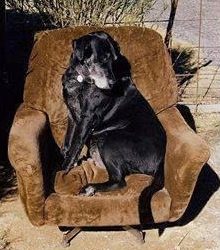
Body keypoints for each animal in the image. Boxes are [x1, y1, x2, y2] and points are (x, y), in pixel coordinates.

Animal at [61, 31, 166, 196]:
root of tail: (161, 161)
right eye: (103, 59)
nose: (112, 83)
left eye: (114, 60)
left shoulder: (87, 118)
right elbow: (68, 142)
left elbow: (75, 145)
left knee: (119, 181)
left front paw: (64, 171)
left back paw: (90, 188)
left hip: (111, 140)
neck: (81, 80)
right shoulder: (71, 113)